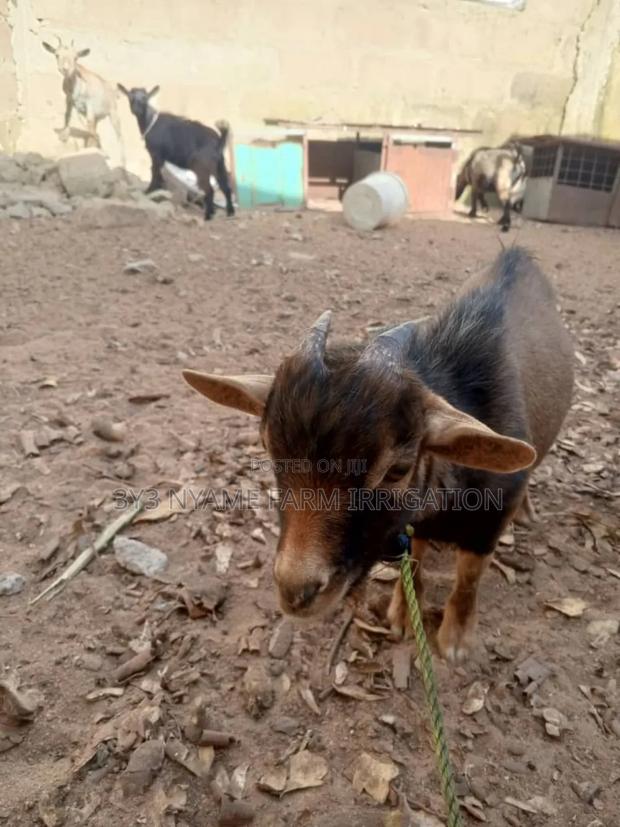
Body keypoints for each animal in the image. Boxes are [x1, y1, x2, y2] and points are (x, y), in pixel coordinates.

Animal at [42, 37, 124, 166]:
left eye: (76, 57)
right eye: (56, 55)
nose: (65, 69)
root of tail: (113, 91)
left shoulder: (90, 105)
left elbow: (89, 124)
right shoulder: (70, 101)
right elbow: (67, 116)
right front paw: (64, 137)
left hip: (113, 113)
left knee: (119, 136)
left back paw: (122, 162)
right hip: (98, 116)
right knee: (94, 129)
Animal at [117, 85, 234, 221]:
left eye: (145, 98)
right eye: (130, 97)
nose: (136, 109)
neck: (150, 122)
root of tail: (219, 140)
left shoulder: (156, 154)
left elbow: (154, 173)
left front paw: (149, 192)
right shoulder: (160, 158)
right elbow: (159, 174)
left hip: (202, 167)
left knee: (209, 189)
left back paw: (208, 216)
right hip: (220, 166)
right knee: (226, 188)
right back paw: (230, 212)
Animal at [182, 248, 574, 663]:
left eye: (397, 470)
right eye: (268, 447)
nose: (295, 593)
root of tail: (518, 256)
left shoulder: (489, 522)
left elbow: (469, 576)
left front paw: (456, 639)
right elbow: (414, 558)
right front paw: (402, 612)